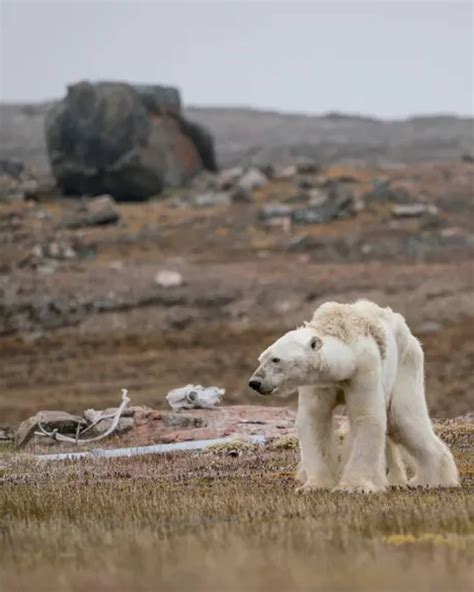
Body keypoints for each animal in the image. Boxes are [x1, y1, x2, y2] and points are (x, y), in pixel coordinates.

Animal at [248, 298, 460, 492]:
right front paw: (314, 485)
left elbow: (365, 416)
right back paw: (394, 479)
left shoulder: (364, 369)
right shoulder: (319, 383)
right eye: (261, 358)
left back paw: (433, 480)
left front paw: (353, 486)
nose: (255, 382)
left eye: (276, 359)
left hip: (406, 365)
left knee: (403, 419)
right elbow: (314, 419)